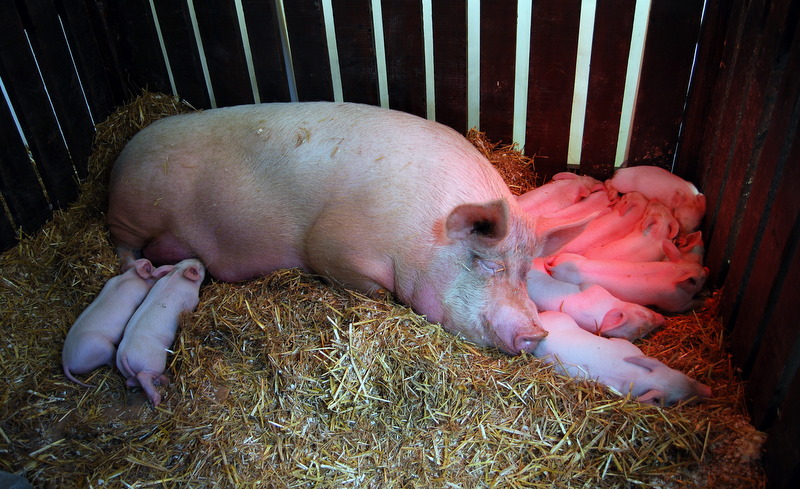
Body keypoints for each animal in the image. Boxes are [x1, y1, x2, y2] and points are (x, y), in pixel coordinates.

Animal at [107, 102, 586, 356]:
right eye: (486, 264)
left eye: (526, 272)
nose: (537, 333)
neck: (421, 232)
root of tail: (125, 150)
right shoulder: (331, 245)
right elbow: (370, 287)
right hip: (133, 209)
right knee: (124, 248)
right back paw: (145, 270)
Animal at [116, 259, 205, 406]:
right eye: (200, 268)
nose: (200, 260)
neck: (178, 274)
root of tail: (123, 354)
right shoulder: (192, 301)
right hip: (154, 363)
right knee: (143, 376)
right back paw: (157, 400)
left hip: (128, 371)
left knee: (131, 381)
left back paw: (163, 381)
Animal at [545, 253, 708, 312]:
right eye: (699, 279)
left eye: (696, 265)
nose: (707, 269)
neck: (673, 275)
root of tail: (555, 267)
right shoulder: (673, 302)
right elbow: (686, 306)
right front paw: (705, 301)